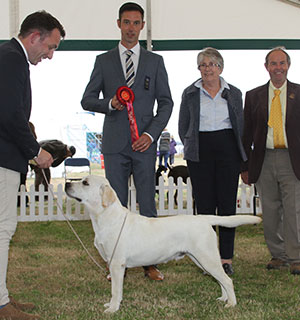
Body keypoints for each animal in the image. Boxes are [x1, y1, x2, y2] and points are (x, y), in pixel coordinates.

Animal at [65, 175, 260, 312]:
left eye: (85, 183)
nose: (66, 184)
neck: (104, 217)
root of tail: (203, 218)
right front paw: (110, 306)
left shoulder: (116, 264)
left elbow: (116, 290)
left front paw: (113, 308)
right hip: (201, 259)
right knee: (220, 280)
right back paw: (223, 299)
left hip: (207, 257)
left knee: (227, 280)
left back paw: (231, 303)